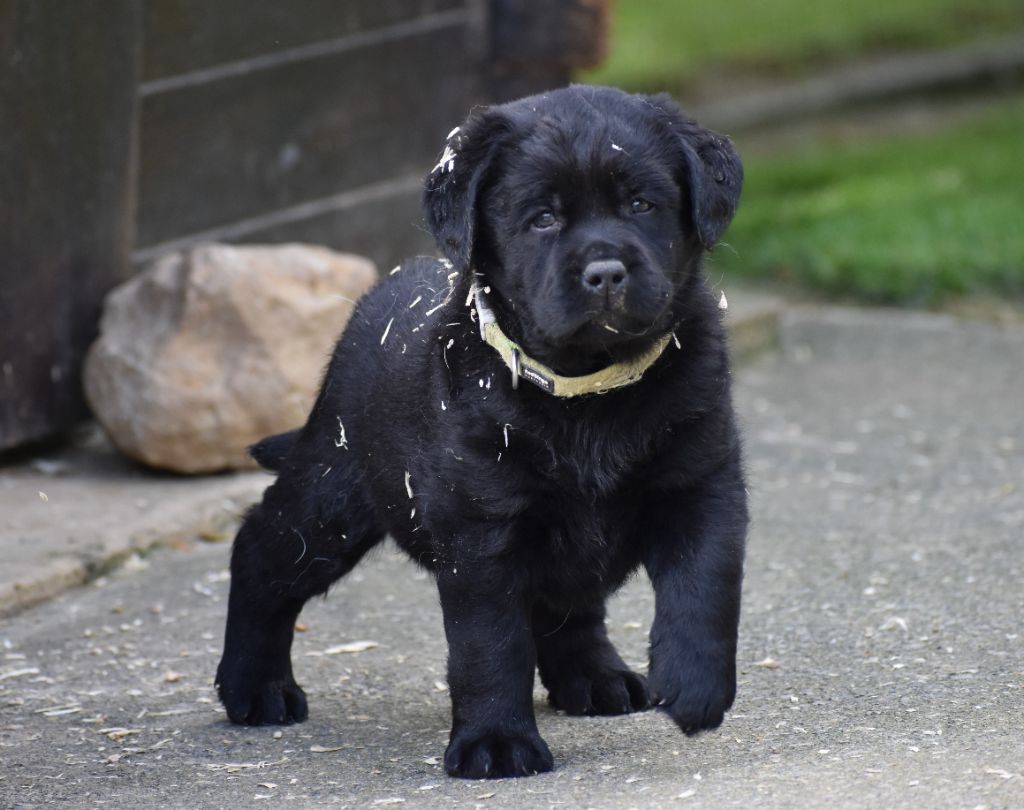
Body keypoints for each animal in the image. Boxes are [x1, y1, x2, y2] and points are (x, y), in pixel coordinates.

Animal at [216, 82, 745, 778]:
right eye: (543, 218)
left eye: (641, 204)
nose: (606, 272)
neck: (587, 393)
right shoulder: (482, 526)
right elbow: (489, 644)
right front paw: (496, 741)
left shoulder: (700, 482)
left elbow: (703, 588)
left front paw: (695, 686)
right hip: (331, 496)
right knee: (260, 551)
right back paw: (255, 687)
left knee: (569, 605)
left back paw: (595, 676)